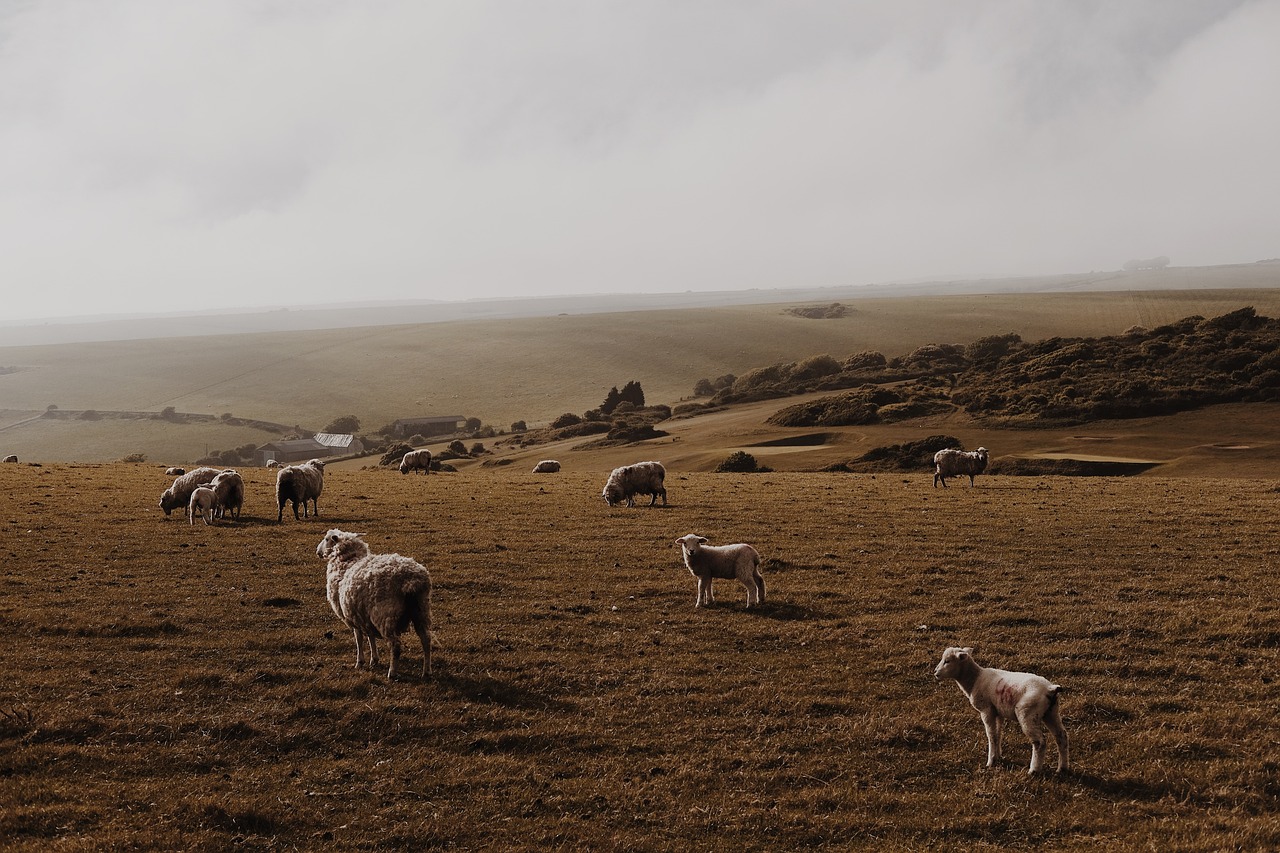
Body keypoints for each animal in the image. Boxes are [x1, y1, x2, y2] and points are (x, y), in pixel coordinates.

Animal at [318, 525, 435, 676]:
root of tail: (411, 580)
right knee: (426, 640)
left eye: (327, 539)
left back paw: (392, 672)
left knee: (395, 645)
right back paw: (427, 671)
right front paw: (374, 659)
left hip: (385, 615)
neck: (347, 561)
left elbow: (359, 638)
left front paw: (360, 662)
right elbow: (370, 636)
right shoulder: (364, 615)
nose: (318, 552)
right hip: (421, 610)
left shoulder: (352, 615)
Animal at [931, 645, 1070, 768]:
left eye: (947, 661)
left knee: (1040, 742)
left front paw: (990, 762)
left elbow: (991, 735)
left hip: (1028, 713)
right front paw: (997, 756)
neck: (974, 679)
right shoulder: (997, 711)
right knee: (1062, 736)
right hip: (1051, 712)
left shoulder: (986, 710)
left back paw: (1034, 770)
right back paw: (1062, 768)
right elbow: (998, 734)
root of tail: (1051, 689)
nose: (935, 672)